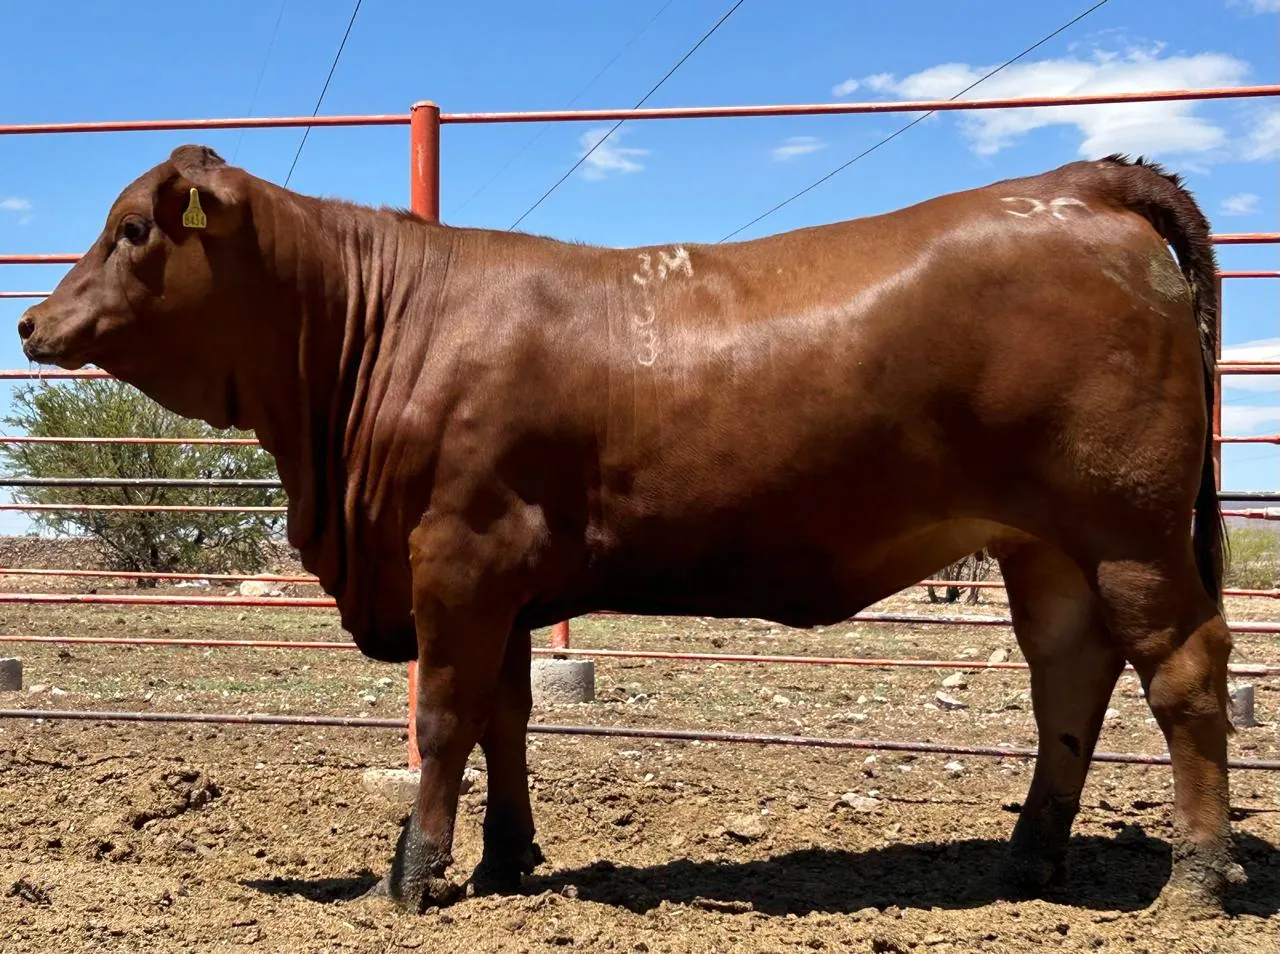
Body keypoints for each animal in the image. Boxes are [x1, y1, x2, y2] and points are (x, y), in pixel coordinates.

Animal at [18, 144, 1245, 916]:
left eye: (132, 229)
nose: (32, 321)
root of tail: (1079, 184)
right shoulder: (507, 584)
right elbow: (506, 723)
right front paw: (508, 862)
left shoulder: (457, 560)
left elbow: (444, 721)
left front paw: (408, 878)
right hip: (1043, 548)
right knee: (1068, 683)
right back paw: (1025, 863)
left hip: (1128, 531)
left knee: (1182, 675)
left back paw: (1192, 878)